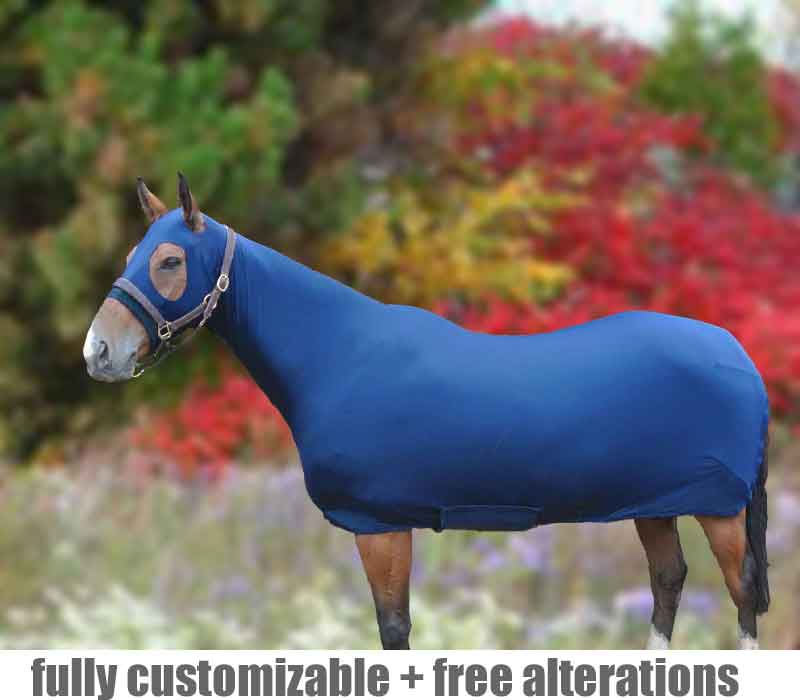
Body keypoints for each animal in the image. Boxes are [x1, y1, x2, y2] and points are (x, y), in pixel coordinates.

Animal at [84, 174, 770, 650]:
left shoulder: (381, 525)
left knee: (740, 597)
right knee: (669, 581)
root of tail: (736, 352)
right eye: (131, 255)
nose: (99, 352)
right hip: (654, 504)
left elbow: (394, 630)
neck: (338, 352)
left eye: (170, 261)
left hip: (720, 508)